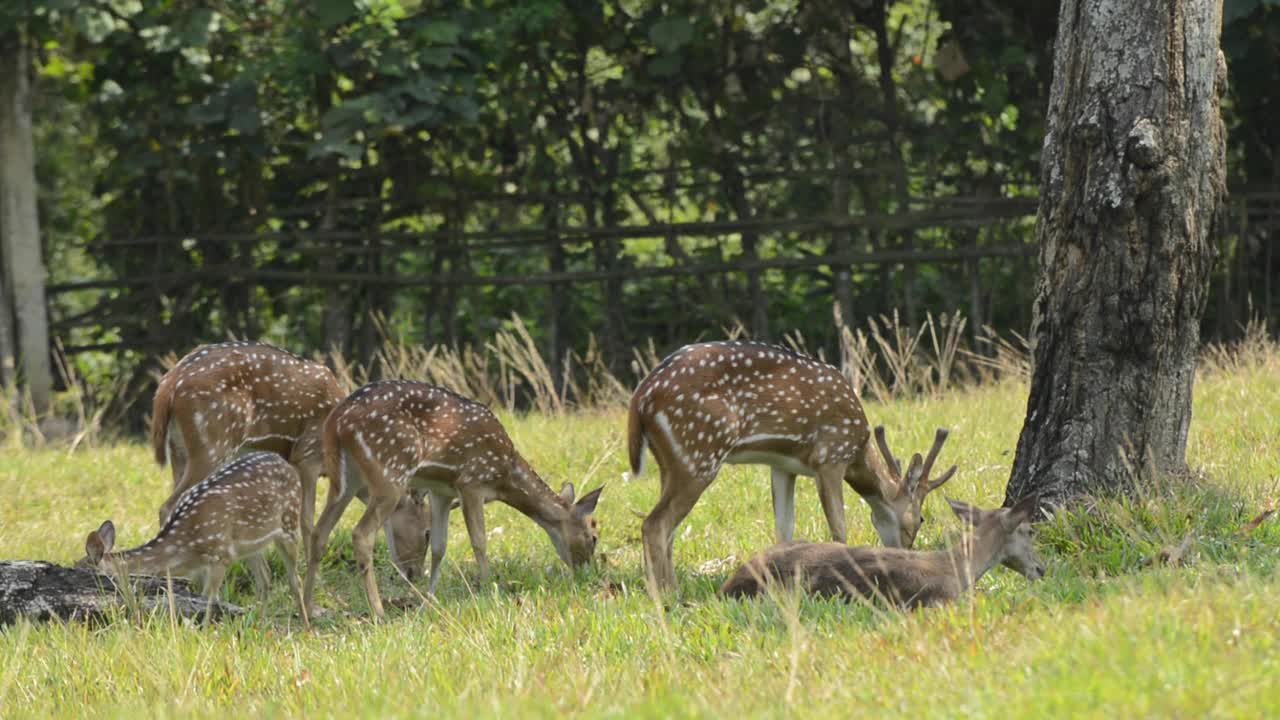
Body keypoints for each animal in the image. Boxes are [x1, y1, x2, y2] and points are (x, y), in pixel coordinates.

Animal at [78, 448, 312, 622]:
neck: (183, 549)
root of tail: (285, 463)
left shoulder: (220, 555)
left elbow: (209, 600)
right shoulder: (202, 567)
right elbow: (201, 599)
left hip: (289, 523)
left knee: (296, 580)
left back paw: (305, 626)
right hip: (249, 546)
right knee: (265, 578)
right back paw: (260, 623)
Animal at [151, 338, 432, 579]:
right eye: (428, 533)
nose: (416, 574)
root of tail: (168, 385)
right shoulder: (306, 456)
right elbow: (307, 520)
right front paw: (314, 572)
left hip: (179, 450)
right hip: (213, 442)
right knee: (170, 503)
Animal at [304, 379, 604, 620]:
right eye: (593, 537)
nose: (586, 572)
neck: (505, 475)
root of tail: (337, 421)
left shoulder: (442, 491)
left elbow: (440, 546)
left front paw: (429, 599)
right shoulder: (471, 480)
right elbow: (480, 541)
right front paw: (486, 588)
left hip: (344, 479)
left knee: (319, 532)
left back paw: (308, 611)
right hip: (391, 471)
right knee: (361, 534)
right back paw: (378, 612)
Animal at [624, 340, 957, 589]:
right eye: (921, 518)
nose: (906, 552)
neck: (858, 451)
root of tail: (640, 398)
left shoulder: (783, 467)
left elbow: (785, 529)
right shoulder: (830, 456)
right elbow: (839, 527)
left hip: (671, 462)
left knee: (667, 528)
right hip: (700, 451)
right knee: (655, 524)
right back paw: (668, 595)